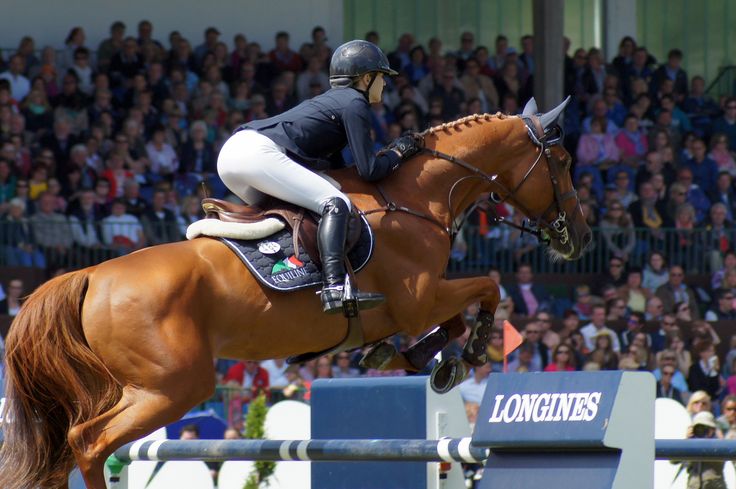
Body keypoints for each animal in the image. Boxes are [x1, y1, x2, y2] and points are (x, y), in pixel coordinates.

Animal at [0, 97, 588, 486]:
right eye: (563, 163)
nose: (578, 238)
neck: (416, 196)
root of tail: (90, 276)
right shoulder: (420, 298)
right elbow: (487, 288)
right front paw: (462, 355)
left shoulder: (413, 306)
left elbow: (445, 319)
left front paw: (410, 356)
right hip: (174, 387)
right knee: (89, 442)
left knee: (70, 446)